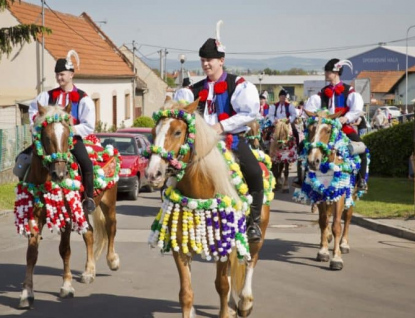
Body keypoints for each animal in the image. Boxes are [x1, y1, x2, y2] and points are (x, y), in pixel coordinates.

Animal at [14, 104, 118, 308]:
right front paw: (27, 293)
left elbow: (65, 250)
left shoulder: (67, 218)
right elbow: (31, 254)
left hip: (108, 203)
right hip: (83, 210)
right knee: (89, 233)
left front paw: (67, 287)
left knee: (111, 228)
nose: (59, 174)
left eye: (67, 134)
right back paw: (89, 272)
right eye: (46, 137)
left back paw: (112, 261)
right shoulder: (34, 218)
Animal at [145, 98, 272, 316]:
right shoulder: (181, 249)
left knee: (251, 261)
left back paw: (245, 302)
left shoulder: (224, 246)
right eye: (154, 132)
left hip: (258, 233)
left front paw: (228, 311)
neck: (200, 192)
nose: (153, 174)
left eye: (177, 132)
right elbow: (186, 294)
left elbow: (222, 286)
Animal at [296, 110, 370, 270]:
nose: (313, 161)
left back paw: (344, 244)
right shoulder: (320, 194)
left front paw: (336, 258)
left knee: (347, 217)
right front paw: (323, 251)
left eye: (328, 130)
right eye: (310, 129)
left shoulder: (340, 194)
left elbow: (337, 225)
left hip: (351, 194)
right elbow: (323, 221)